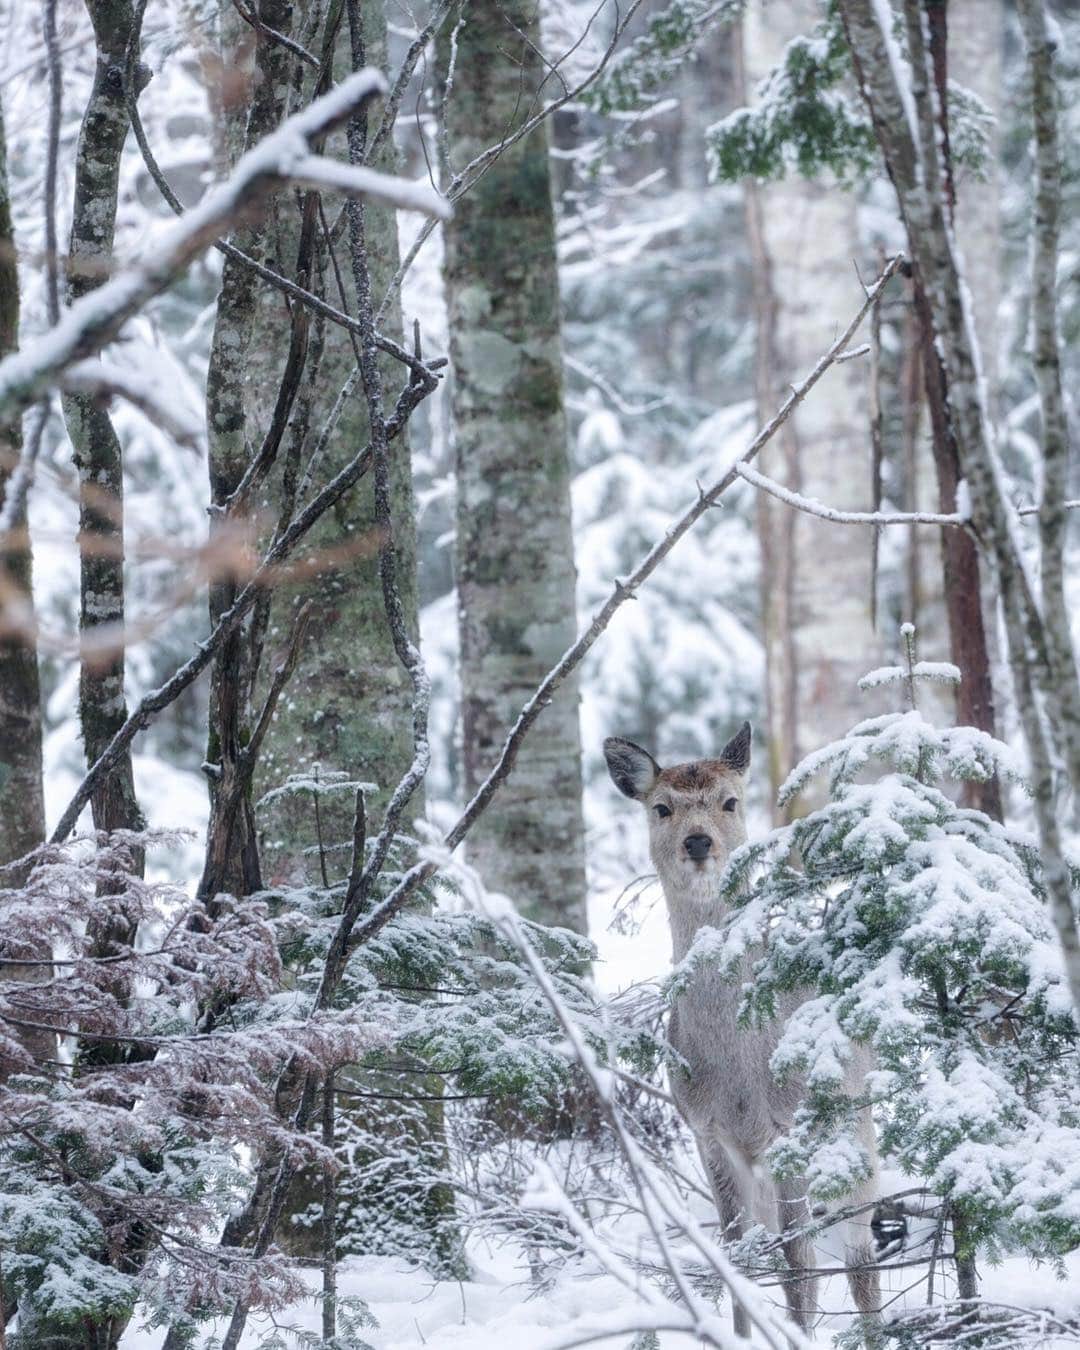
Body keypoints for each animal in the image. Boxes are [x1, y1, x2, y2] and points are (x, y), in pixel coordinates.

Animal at [604, 723, 883, 1336]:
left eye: (730, 801)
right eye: (661, 808)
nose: (698, 842)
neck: (739, 1067)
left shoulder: (789, 1126)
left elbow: (799, 1266)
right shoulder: (707, 1133)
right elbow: (737, 1259)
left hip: (854, 1121)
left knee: (860, 1254)